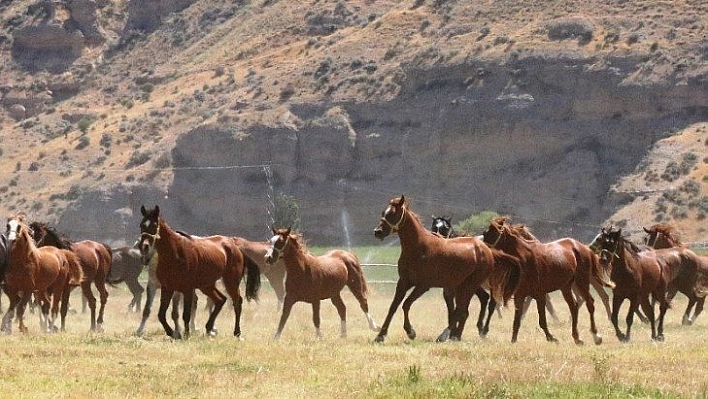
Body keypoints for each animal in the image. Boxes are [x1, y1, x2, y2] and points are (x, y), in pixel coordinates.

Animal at [137, 206, 262, 340]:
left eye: (154, 225)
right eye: (141, 225)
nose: (144, 246)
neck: (175, 253)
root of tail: (235, 246)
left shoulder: (187, 289)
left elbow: (185, 314)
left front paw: (186, 334)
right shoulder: (167, 288)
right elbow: (161, 314)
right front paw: (174, 333)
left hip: (230, 282)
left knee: (237, 302)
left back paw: (237, 333)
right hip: (206, 285)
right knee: (221, 299)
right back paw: (209, 328)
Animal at [370, 197, 520, 344]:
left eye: (393, 213)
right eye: (383, 212)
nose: (377, 232)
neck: (419, 247)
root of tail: (487, 249)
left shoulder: (423, 286)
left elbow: (406, 304)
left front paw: (410, 331)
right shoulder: (403, 282)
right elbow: (393, 306)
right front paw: (380, 336)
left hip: (469, 286)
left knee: (463, 310)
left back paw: (446, 336)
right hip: (463, 287)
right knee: (463, 310)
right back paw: (456, 336)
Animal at [482, 217, 612, 346]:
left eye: (492, 233)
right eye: (486, 232)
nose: (483, 250)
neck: (526, 261)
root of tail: (584, 248)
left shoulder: (540, 295)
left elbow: (542, 320)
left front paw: (551, 338)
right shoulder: (520, 296)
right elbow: (517, 320)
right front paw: (513, 340)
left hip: (581, 282)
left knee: (590, 303)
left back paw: (596, 336)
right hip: (566, 287)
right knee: (574, 306)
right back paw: (576, 338)